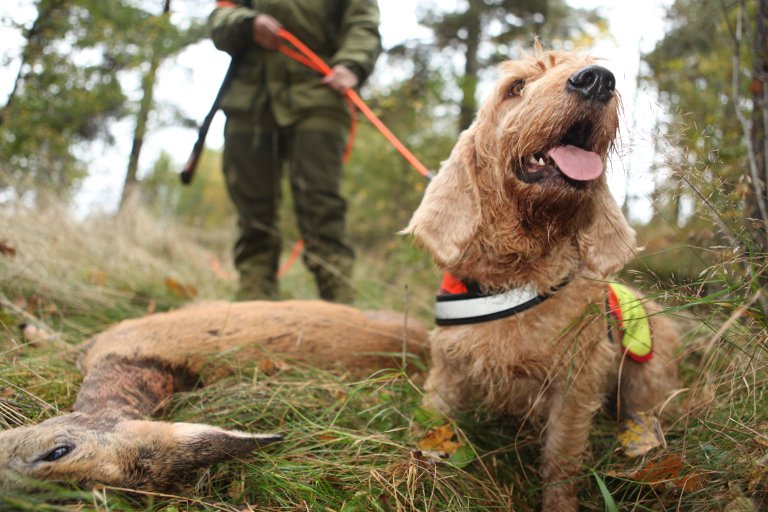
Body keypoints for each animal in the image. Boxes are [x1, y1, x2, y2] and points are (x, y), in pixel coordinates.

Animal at [404, 46, 680, 510]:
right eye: (515, 87)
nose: (597, 79)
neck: (519, 274)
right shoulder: (448, 370)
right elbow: (431, 423)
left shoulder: (574, 387)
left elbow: (561, 461)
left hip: (645, 385)